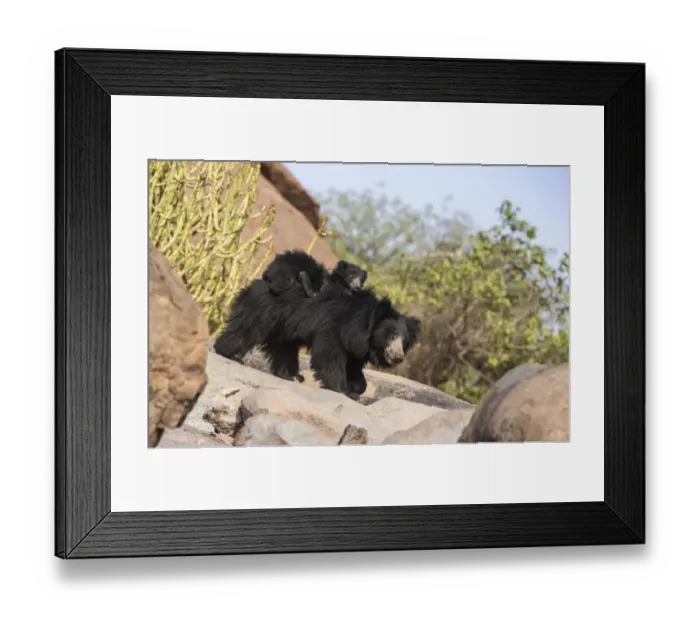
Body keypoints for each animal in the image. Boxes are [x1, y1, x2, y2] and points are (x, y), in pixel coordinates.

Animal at [213, 273, 421, 400]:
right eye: (391, 336)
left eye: (404, 340)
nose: (398, 357)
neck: (360, 325)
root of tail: (261, 281)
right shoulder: (334, 328)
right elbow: (329, 357)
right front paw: (343, 389)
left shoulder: (356, 344)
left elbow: (353, 365)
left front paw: (356, 387)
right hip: (266, 308)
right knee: (246, 328)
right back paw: (228, 352)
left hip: (283, 325)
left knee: (284, 348)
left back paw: (291, 375)